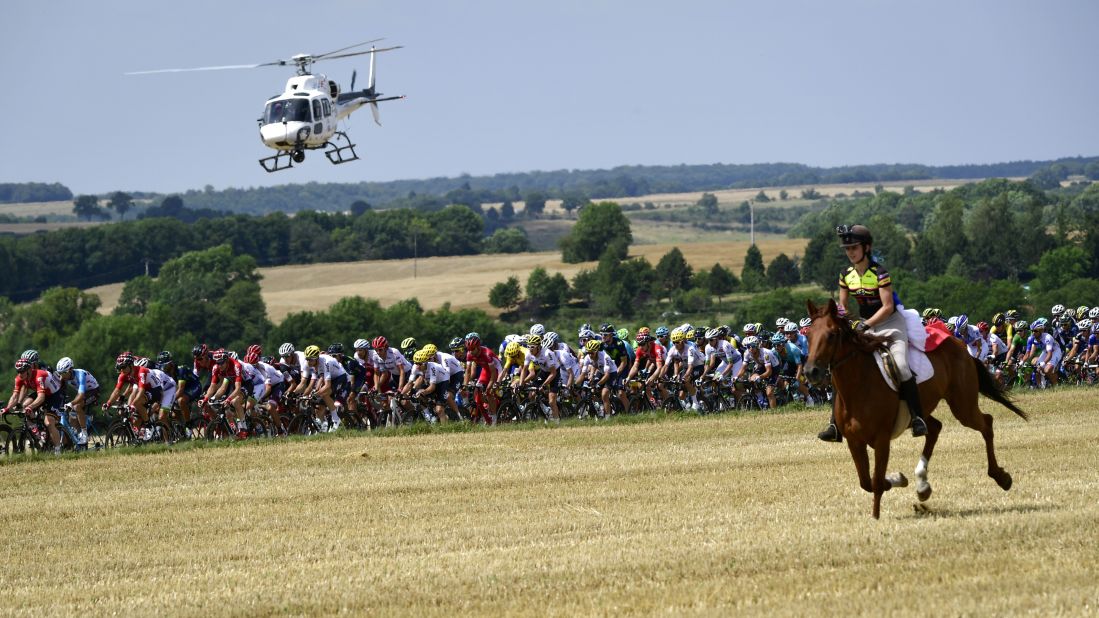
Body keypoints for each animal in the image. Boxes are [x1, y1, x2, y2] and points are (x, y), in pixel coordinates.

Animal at [804, 299, 1024, 514]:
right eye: (808, 335)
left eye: (832, 335)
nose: (810, 371)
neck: (859, 384)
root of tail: (960, 345)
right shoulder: (854, 441)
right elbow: (867, 482)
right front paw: (899, 479)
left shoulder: (882, 439)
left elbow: (876, 482)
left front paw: (878, 512)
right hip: (923, 410)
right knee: (934, 428)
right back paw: (922, 485)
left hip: (963, 406)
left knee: (986, 423)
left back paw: (1001, 477)